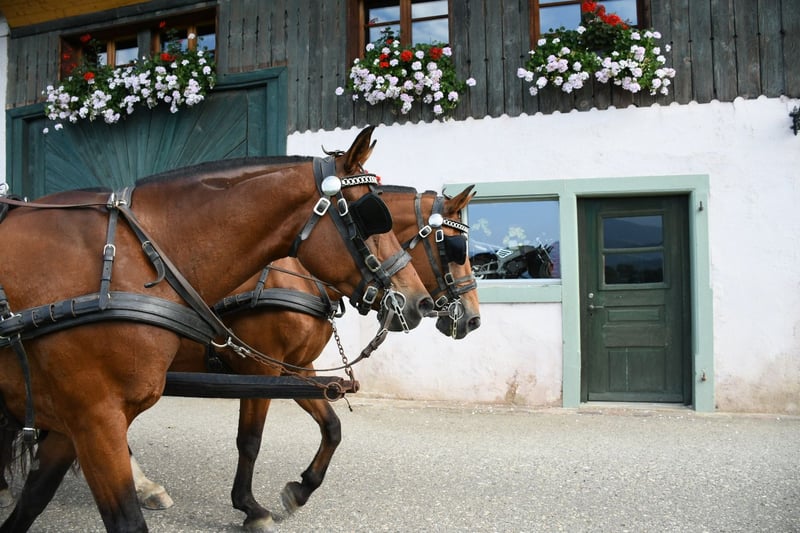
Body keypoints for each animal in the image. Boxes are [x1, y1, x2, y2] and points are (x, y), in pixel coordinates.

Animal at [125, 185, 480, 531]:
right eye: (455, 248)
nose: (473, 319)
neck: (302, 278)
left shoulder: (297, 370)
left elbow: (332, 426)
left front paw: (301, 489)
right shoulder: (262, 369)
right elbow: (250, 440)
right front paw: (250, 507)